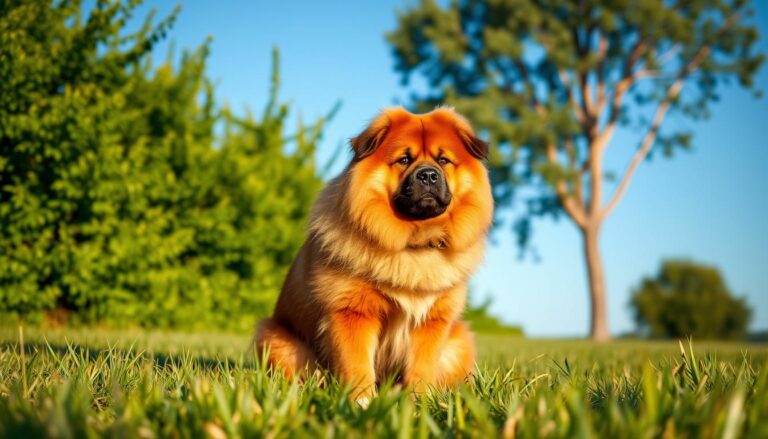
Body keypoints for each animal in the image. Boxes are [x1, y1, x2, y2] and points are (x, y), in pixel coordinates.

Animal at [252, 107, 492, 406]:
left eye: (443, 160)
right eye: (404, 159)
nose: (428, 175)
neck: (413, 245)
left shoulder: (433, 322)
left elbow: (421, 368)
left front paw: (419, 403)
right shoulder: (352, 312)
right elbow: (357, 365)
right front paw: (362, 402)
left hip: (460, 341)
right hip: (275, 338)